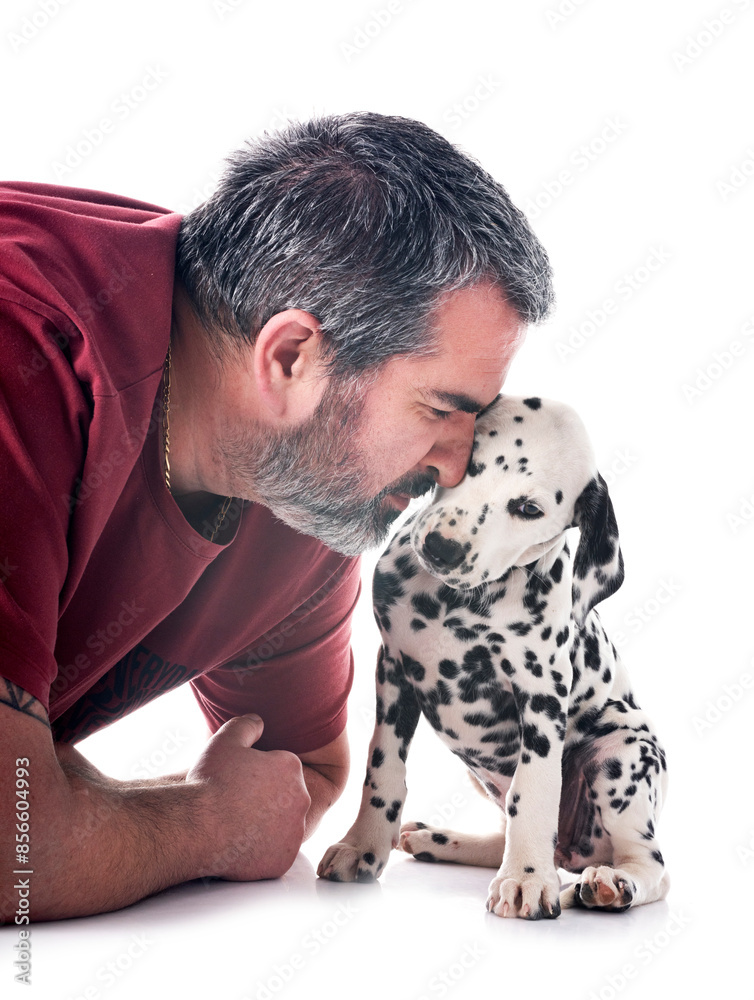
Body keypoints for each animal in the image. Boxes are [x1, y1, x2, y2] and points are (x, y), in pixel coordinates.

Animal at [316, 394, 664, 916]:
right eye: (469, 462)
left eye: (528, 508)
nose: (441, 547)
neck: (452, 603)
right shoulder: (393, 669)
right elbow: (383, 769)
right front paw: (363, 846)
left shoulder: (541, 695)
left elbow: (533, 789)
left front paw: (526, 878)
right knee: (503, 833)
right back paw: (441, 841)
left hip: (623, 754)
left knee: (651, 866)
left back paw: (608, 884)